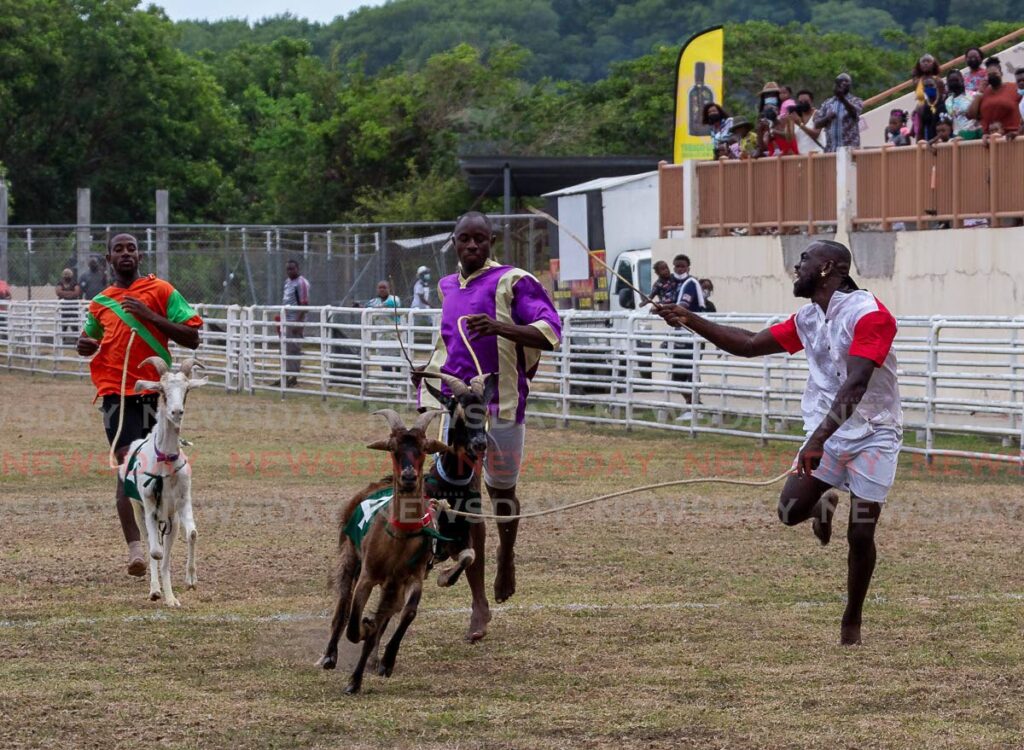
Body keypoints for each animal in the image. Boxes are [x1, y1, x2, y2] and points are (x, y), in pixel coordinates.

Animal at [118, 354, 206, 606]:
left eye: (186, 390)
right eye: (163, 391)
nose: (176, 412)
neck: (165, 461)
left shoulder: (183, 502)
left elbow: (192, 534)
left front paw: (190, 581)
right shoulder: (149, 506)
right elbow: (155, 551)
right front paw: (156, 591)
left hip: (171, 518)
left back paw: (170, 597)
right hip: (140, 509)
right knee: (152, 545)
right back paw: (156, 591)